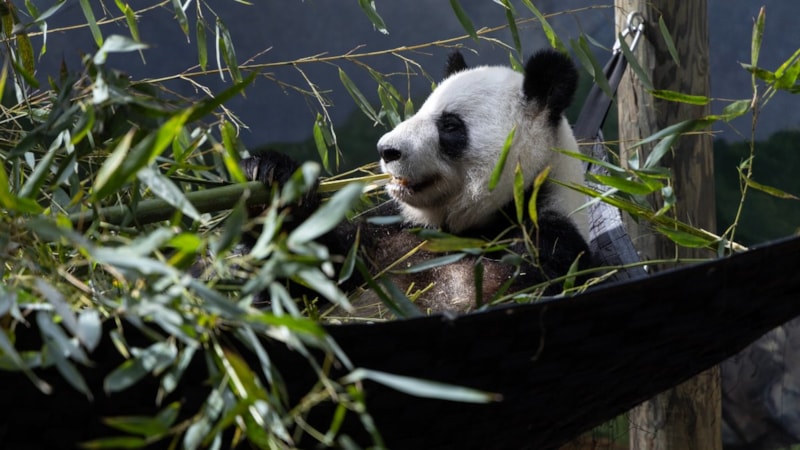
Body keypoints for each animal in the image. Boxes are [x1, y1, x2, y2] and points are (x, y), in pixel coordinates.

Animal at [241, 48, 592, 317]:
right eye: (418, 111)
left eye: (449, 125)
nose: (386, 150)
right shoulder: (385, 232)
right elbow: (302, 282)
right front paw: (269, 177)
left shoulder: (547, 243)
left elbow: (488, 291)